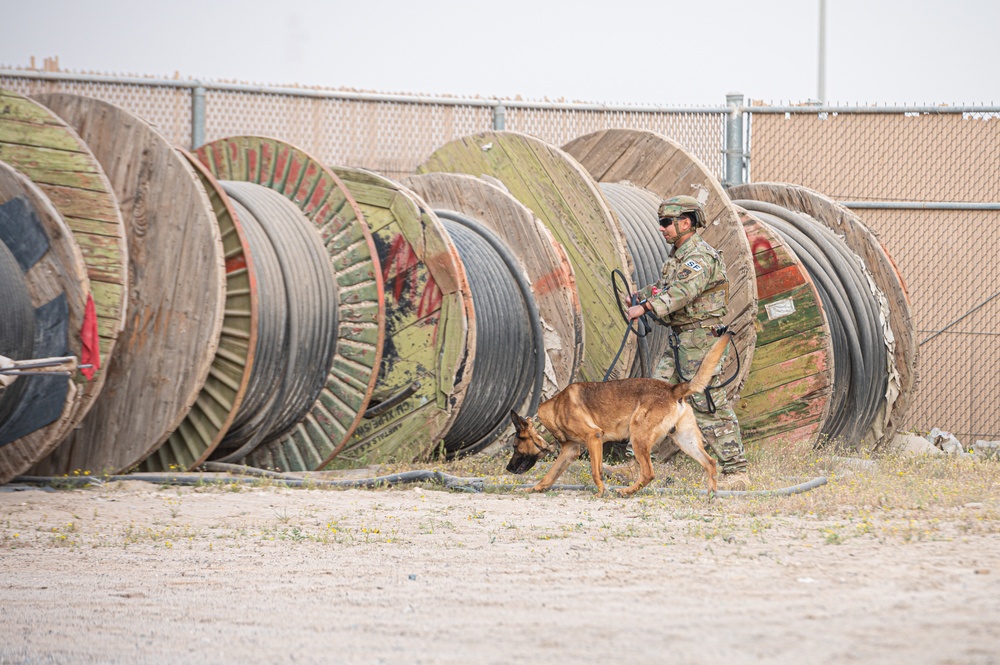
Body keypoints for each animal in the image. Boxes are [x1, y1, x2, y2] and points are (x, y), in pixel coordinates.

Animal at [508, 330, 728, 492]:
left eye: (515, 446)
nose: (508, 468)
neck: (554, 410)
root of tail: (673, 389)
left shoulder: (593, 437)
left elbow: (595, 471)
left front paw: (601, 492)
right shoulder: (570, 451)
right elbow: (549, 476)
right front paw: (532, 489)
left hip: (638, 436)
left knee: (648, 473)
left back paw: (626, 491)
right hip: (684, 440)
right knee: (710, 463)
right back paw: (711, 495)